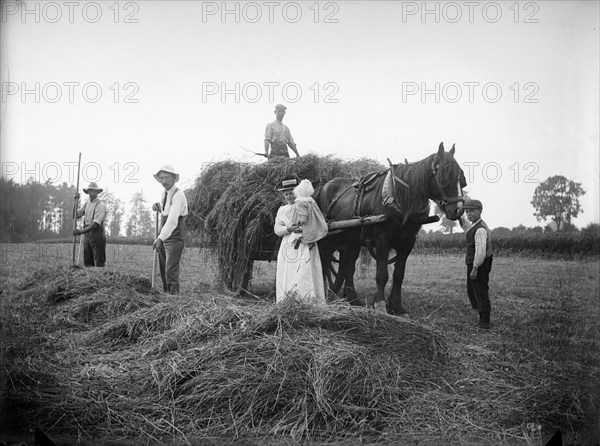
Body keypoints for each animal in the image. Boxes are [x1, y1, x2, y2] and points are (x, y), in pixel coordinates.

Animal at [316, 142, 466, 314]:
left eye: (461, 178)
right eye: (446, 176)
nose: (458, 210)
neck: (402, 201)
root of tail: (324, 187)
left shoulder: (408, 242)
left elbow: (399, 274)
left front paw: (396, 306)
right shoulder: (382, 239)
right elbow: (382, 274)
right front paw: (380, 304)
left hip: (351, 241)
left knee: (347, 268)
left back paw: (353, 299)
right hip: (326, 240)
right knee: (324, 263)